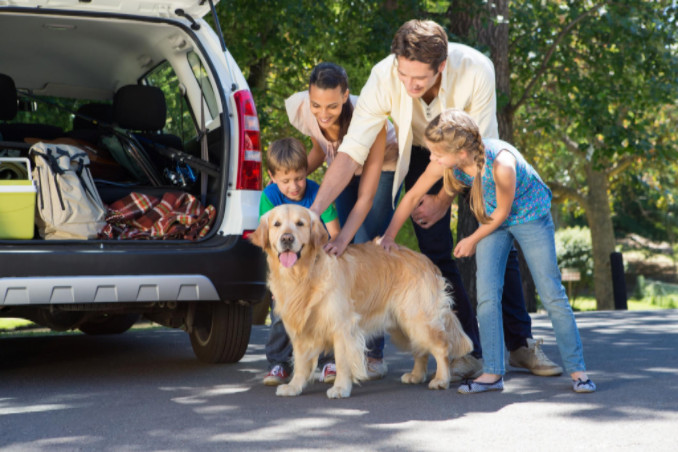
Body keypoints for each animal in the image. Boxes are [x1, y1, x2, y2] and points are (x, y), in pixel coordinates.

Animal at [251, 205, 472, 400]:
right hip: (403, 324)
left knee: (441, 347)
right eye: (277, 224)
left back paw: (441, 379)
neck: (304, 274)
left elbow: (342, 361)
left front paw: (340, 388)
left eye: (300, 223)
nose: (287, 238)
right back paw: (416, 375)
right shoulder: (301, 328)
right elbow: (300, 361)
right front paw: (294, 387)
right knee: (421, 348)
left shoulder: (342, 326)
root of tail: (426, 261)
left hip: (417, 318)